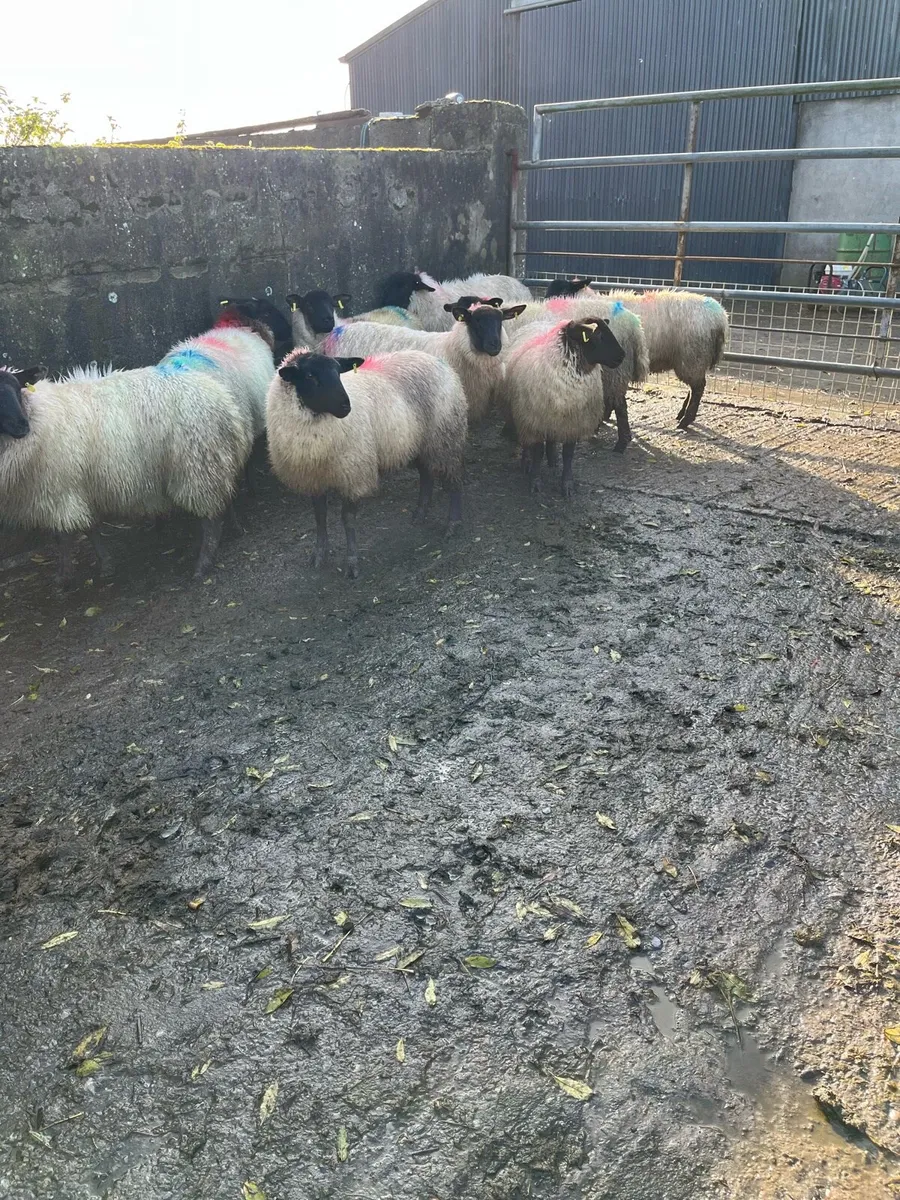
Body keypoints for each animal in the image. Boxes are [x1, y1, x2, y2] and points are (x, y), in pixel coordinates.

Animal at [266, 349, 467, 579]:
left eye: (338, 372)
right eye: (309, 376)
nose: (346, 406)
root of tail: (435, 359)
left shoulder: (354, 473)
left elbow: (347, 519)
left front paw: (352, 563)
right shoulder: (315, 477)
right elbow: (319, 517)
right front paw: (319, 554)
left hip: (445, 437)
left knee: (454, 480)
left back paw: (453, 524)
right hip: (417, 441)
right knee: (426, 475)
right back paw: (420, 513)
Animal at [499, 317, 625, 497]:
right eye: (598, 336)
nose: (622, 356)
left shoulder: (572, 422)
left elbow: (568, 454)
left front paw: (567, 484)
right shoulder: (536, 420)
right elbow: (537, 452)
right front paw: (535, 482)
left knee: (551, 439)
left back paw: (552, 460)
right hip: (523, 415)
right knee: (526, 441)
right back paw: (526, 461)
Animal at [604, 290, 729, 428]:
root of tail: (721, 316)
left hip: (693, 358)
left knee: (698, 388)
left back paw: (685, 420)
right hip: (694, 361)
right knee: (694, 387)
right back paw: (681, 414)